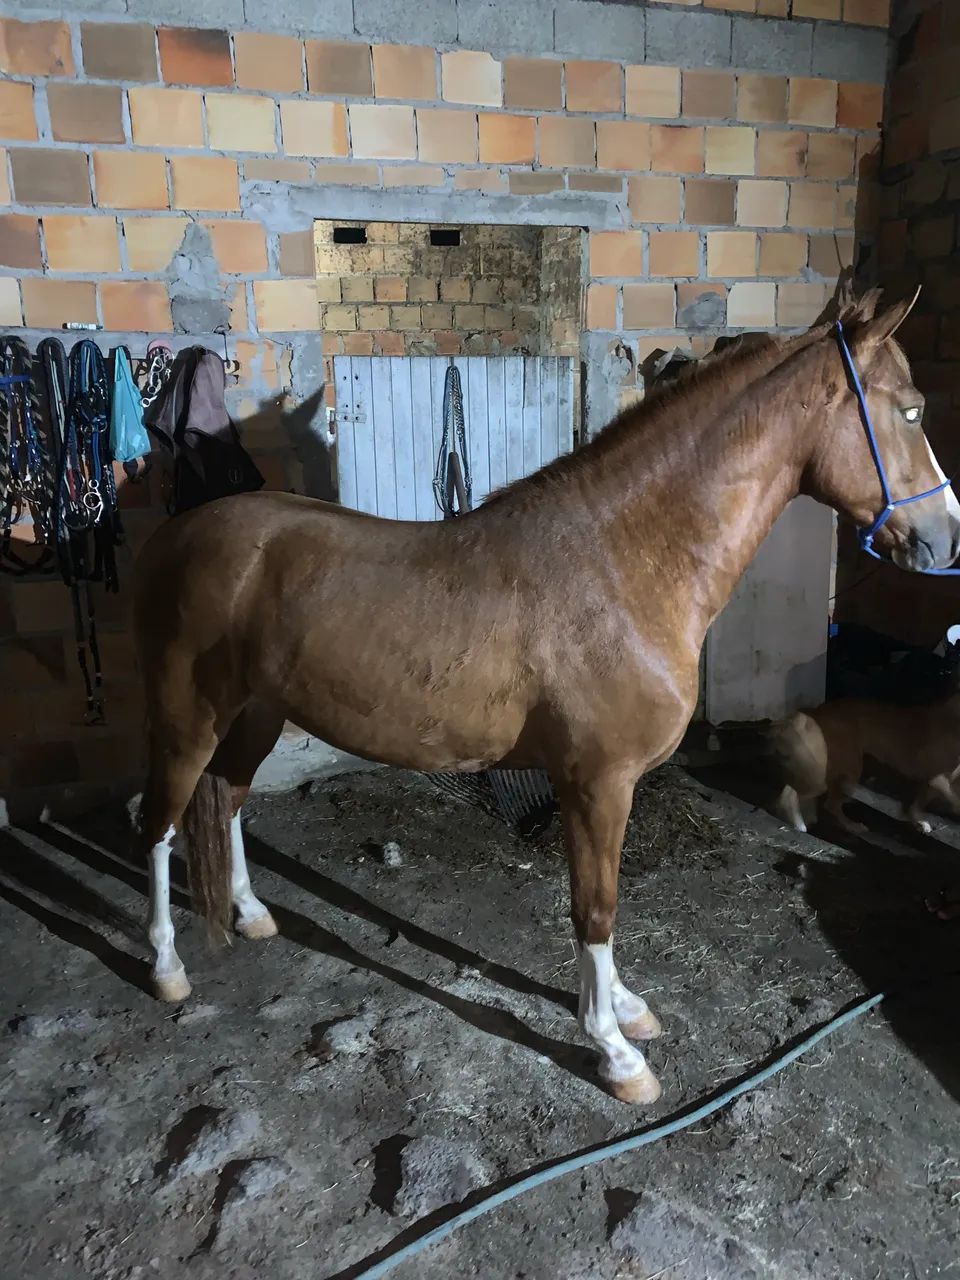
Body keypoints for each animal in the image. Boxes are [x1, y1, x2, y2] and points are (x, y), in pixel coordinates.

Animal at [131, 288, 960, 1105]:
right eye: (911, 411)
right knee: (161, 825)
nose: (947, 540)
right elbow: (596, 906)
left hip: (256, 715)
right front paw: (615, 1053)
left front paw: (626, 1007)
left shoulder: (598, 786)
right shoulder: (597, 782)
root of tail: (173, 538)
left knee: (229, 801)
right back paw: (167, 968)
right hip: (185, 721)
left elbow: (605, 902)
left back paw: (251, 914)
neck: (624, 563)